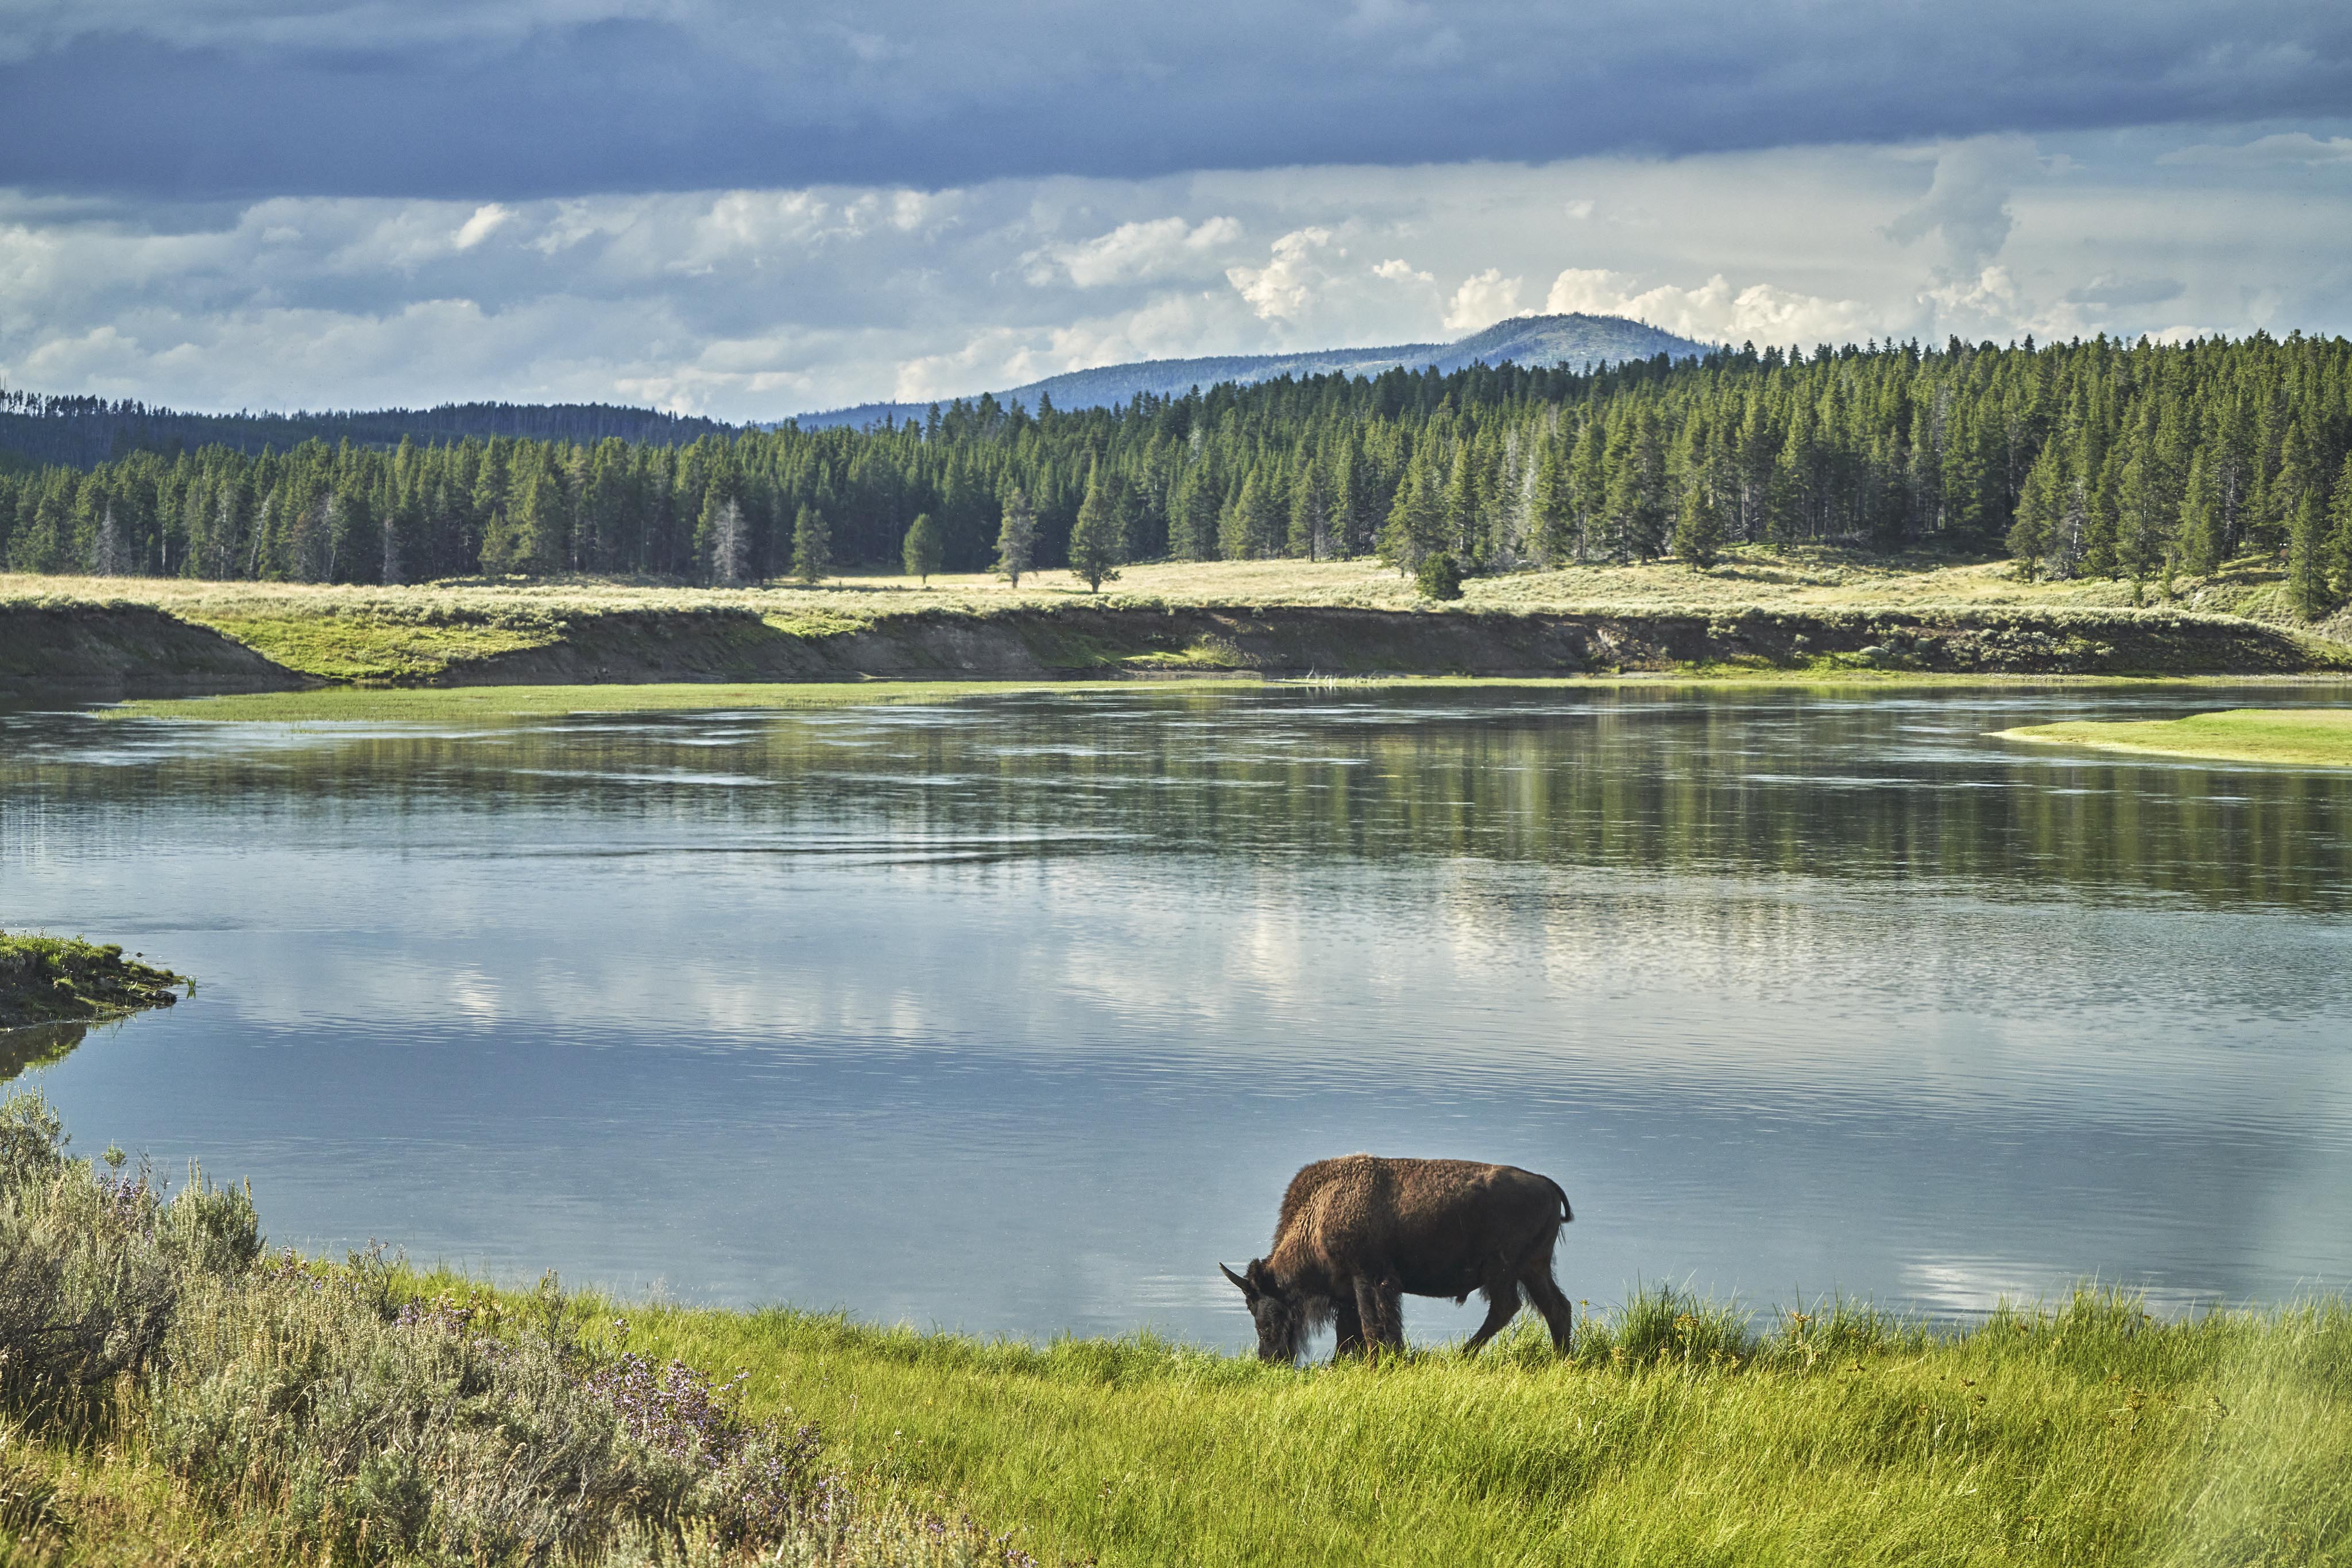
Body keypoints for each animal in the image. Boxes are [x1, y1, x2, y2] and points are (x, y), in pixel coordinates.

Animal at [1221, 1154, 1574, 1363]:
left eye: (1258, 1304)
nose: (1268, 1357)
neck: (1320, 1213)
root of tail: (1548, 1185)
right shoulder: (1349, 1292)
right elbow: (1349, 1332)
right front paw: (1342, 1364)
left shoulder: (1369, 1278)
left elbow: (1372, 1324)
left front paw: (1378, 1360)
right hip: (1533, 1269)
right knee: (1555, 1307)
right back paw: (1560, 1359)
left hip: (1504, 1269)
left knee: (1507, 1307)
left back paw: (1461, 1356)